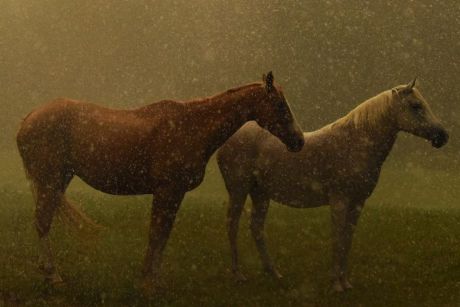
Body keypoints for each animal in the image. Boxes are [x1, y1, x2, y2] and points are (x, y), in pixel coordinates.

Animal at [16, 72, 306, 292]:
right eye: (280, 105)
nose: (299, 140)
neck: (191, 126)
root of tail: (29, 117)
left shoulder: (174, 194)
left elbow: (163, 234)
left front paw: (153, 278)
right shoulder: (168, 191)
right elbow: (157, 233)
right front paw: (148, 282)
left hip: (58, 181)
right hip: (50, 180)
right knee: (42, 222)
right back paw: (53, 274)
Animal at [217, 78, 448, 292]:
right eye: (416, 106)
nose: (442, 136)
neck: (355, 144)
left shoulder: (358, 203)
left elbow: (347, 239)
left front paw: (345, 283)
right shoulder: (339, 201)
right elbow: (337, 238)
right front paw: (336, 284)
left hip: (261, 194)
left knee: (256, 227)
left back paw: (274, 273)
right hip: (238, 191)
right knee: (232, 225)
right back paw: (238, 275)